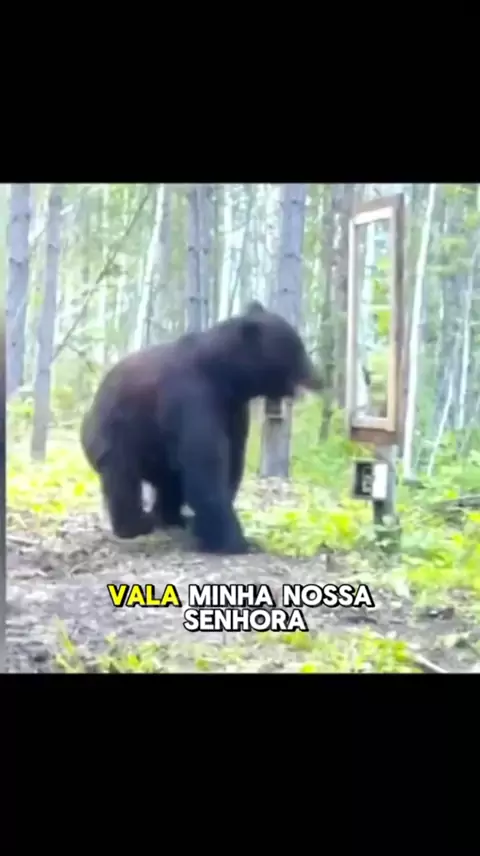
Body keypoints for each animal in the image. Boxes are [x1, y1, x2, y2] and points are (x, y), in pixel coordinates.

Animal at [80, 301, 323, 554]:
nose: (317, 377)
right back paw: (137, 523)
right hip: (117, 435)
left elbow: (231, 460)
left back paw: (172, 517)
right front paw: (236, 541)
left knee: (170, 479)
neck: (224, 376)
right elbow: (206, 464)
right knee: (123, 478)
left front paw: (207, 531)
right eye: (298, 347)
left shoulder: (233, 409)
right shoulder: (191, 397)